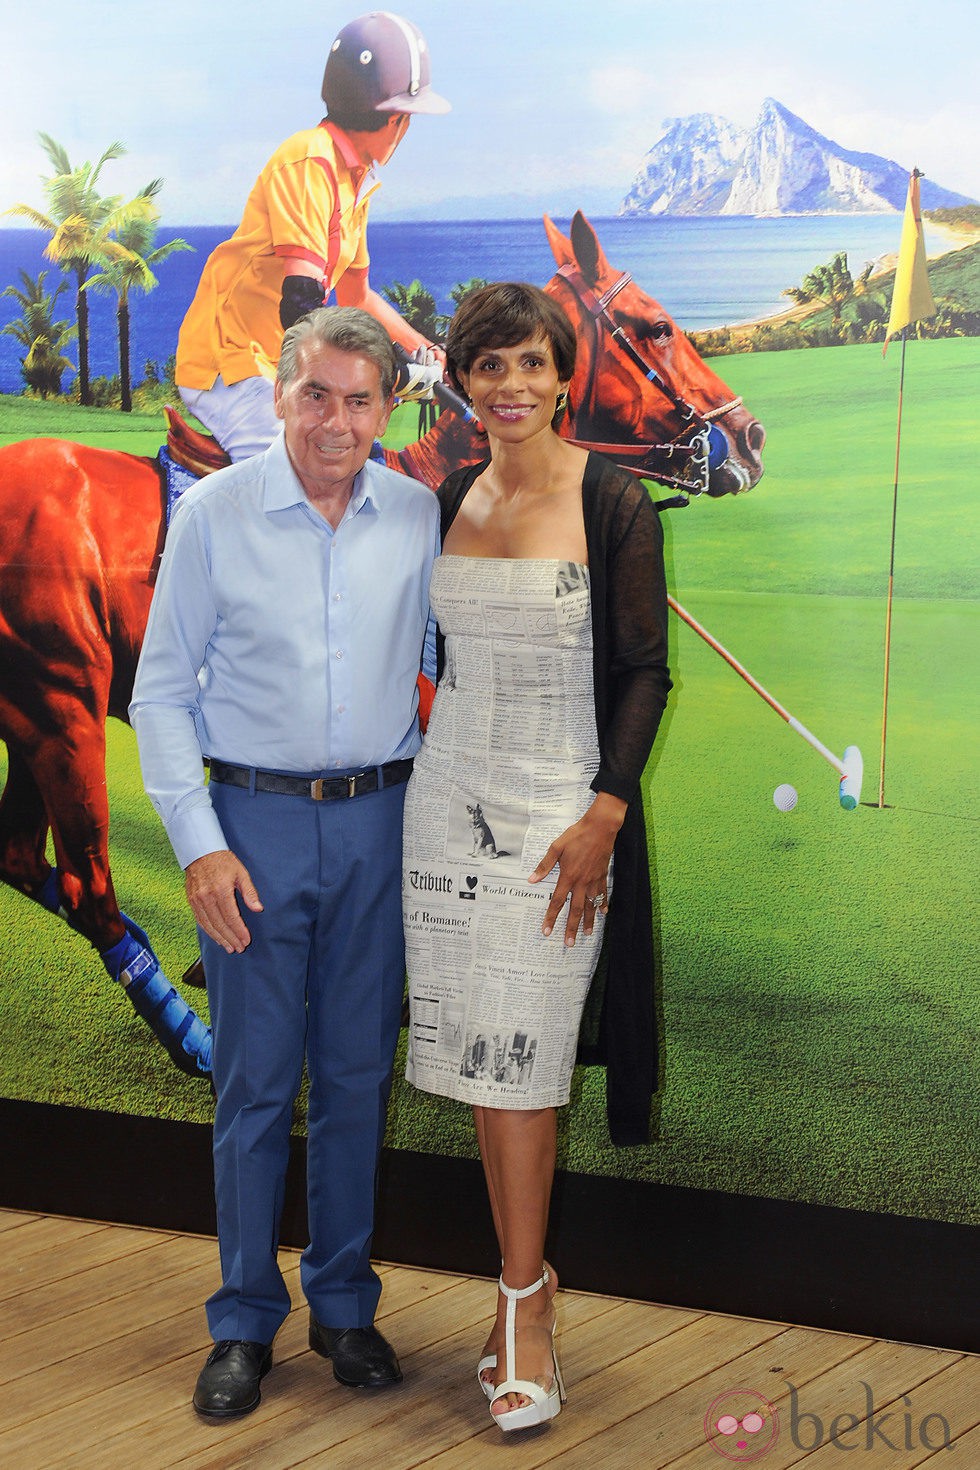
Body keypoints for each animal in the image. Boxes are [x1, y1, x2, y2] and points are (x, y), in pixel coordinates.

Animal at [0, 210, 764, 1081]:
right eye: (657, 327)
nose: (749, 440)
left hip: (33, 712)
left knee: (23, 859)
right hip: (60, 702)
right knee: (88, 885)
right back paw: (197, 1032)